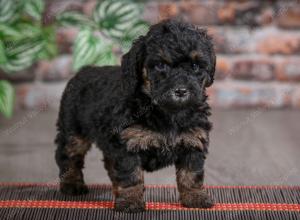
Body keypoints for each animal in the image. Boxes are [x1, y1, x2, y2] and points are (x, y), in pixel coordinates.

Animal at [55, 19, 216, 212]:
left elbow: (191, 173)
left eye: (195, 66)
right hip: (73, 128)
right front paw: (130, 201)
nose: (181, 91)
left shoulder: (194, 141)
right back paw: (72, 184)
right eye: (161, 65)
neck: (167, 111)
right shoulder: (128, 144)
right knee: (68, 156)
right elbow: (130, 174)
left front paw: (195, 197)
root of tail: (82, 71)